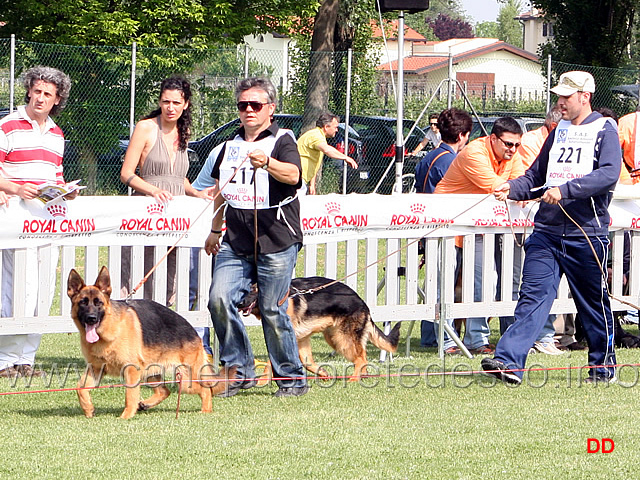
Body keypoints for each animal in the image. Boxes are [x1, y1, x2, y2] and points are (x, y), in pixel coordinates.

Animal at [68, 268, 232, 418]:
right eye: (83, 303)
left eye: (99, 303)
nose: (91, 318)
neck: (108, 331)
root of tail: (193, 331)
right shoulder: (95, 368)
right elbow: (80, 387)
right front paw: (88, 409)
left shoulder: (131, 370)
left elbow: (130, 396)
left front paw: (125, 417)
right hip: (151, 372)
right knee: (164, 391)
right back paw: (145, 404)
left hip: (185, 380)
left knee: (205, 388)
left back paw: (205, 411)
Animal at [238, 276, 402, 380]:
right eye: (243, 290)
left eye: (253, 289)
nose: (239, 304)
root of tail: (362, 302)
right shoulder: (301, 339)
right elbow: (307, 362)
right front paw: (322, 373)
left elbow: (271, 362)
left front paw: (262, 381)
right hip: (333, 338)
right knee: (362, 357)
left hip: (343, 340)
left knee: (361, 358)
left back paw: (354, 379)